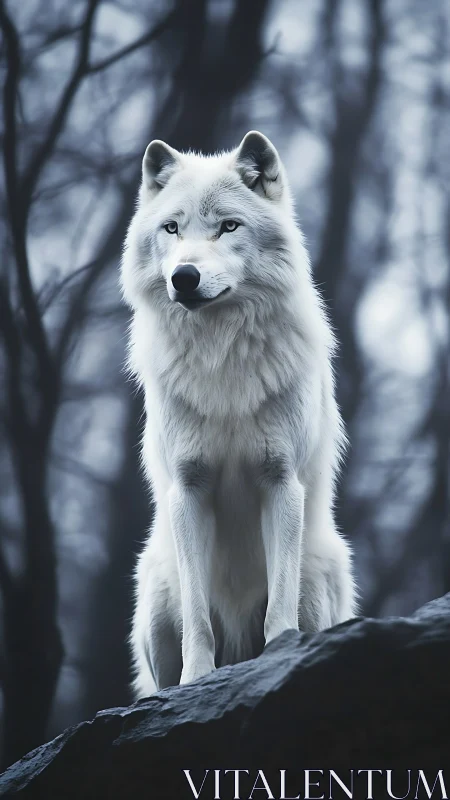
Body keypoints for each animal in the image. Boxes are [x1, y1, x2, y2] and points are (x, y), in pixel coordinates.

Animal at [121, 131, 357, 696]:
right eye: (172, 228)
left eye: (228, 226)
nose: (184, 276)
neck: (221, 358)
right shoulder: (189, 490)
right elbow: (199, 618)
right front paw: (196, 681)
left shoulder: (280, 482)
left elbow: (278, 607)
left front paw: (279, 657)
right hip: (156, 592)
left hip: (319, 573)